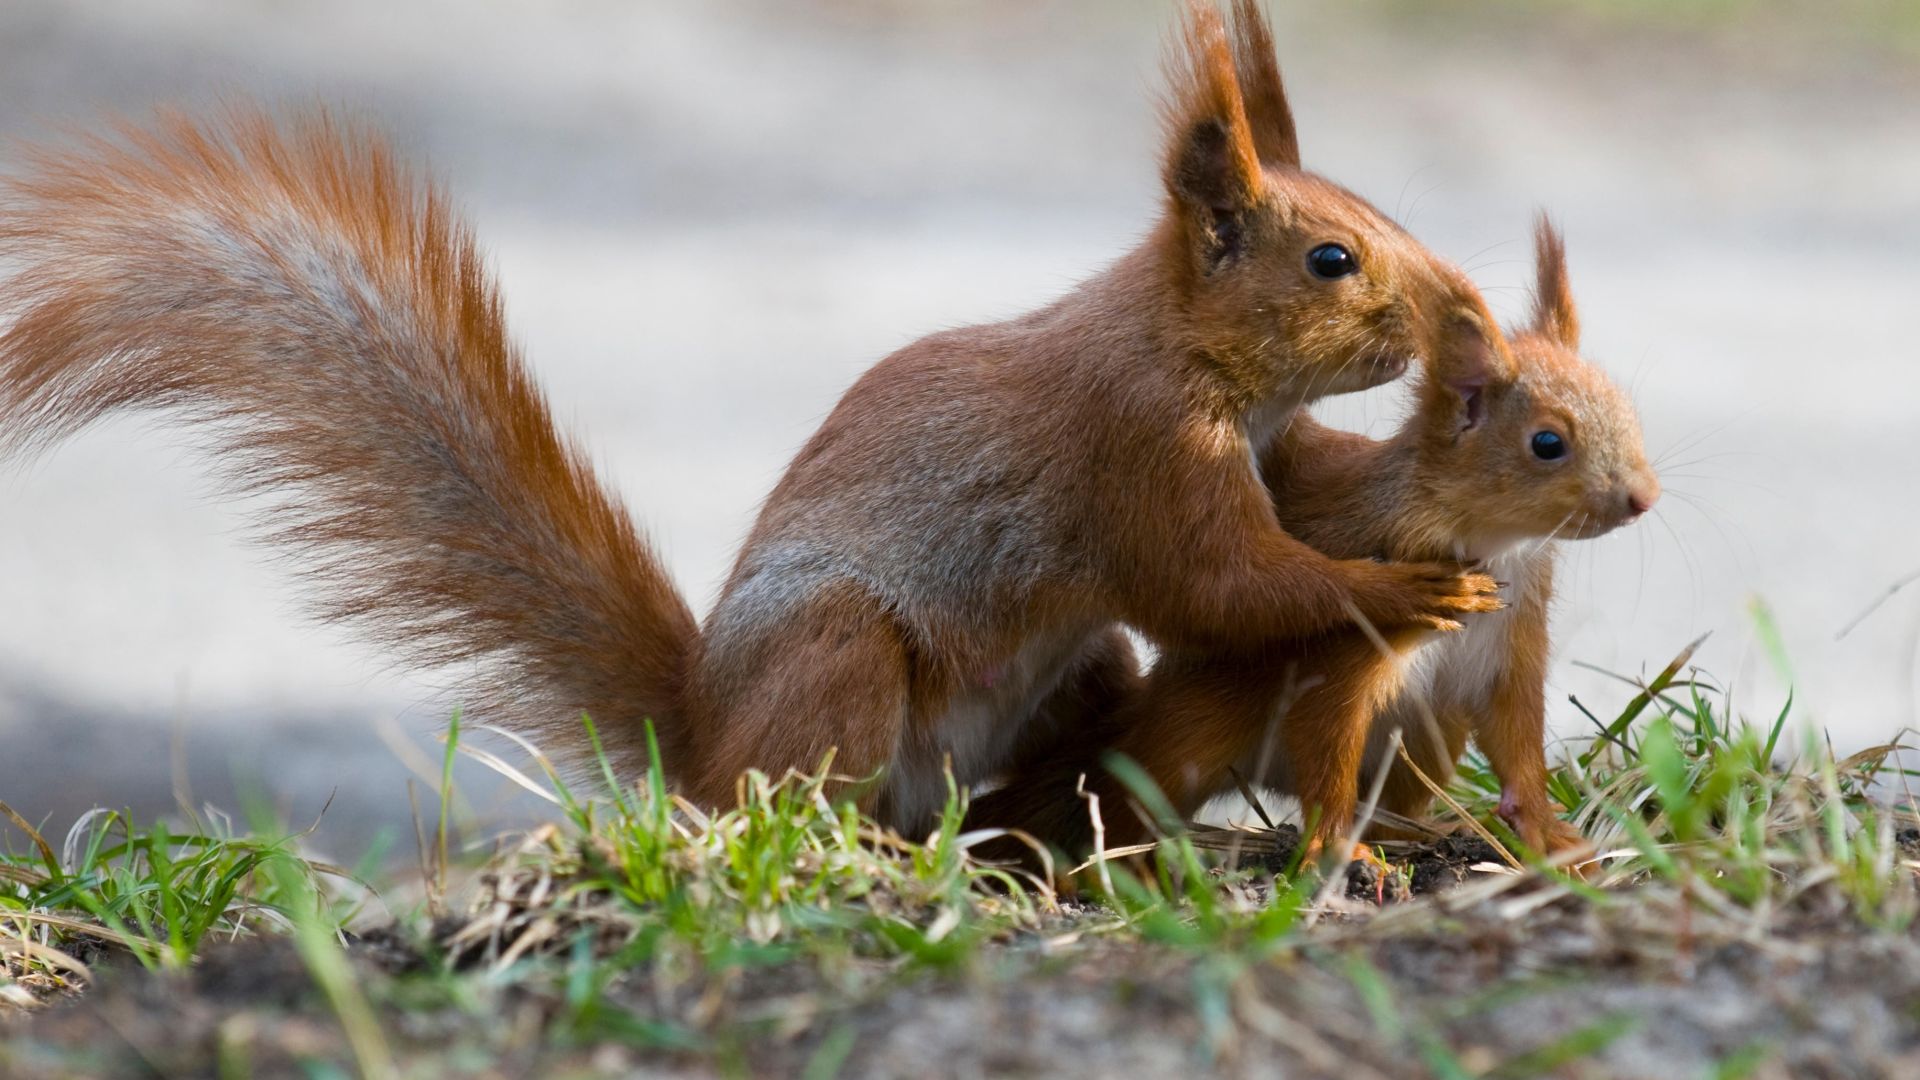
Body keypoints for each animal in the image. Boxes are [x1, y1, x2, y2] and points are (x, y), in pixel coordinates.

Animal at [0, 2, 1497, 834]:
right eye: (1331, 260)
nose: (1454, 314)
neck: (1184, 347)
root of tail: (700, 742)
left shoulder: (1264, 445)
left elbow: (1294, 511)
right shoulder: (1136, 446)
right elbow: (1225, 583)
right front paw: (1407, 591)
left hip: (1065, 668)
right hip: (837, 657)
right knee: (814, 796)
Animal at [975, 216, 1666, 857]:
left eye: (1627, 413)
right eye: (1547, 443)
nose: (1643, 499)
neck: (1497, 544)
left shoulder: (1510, 641)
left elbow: (1517, 743)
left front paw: (1548, 835)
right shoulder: (1348, 647)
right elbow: (1327, 734)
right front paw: (1335, 845)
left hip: (1427, 735)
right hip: (1189, 734)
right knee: (1132, 798)